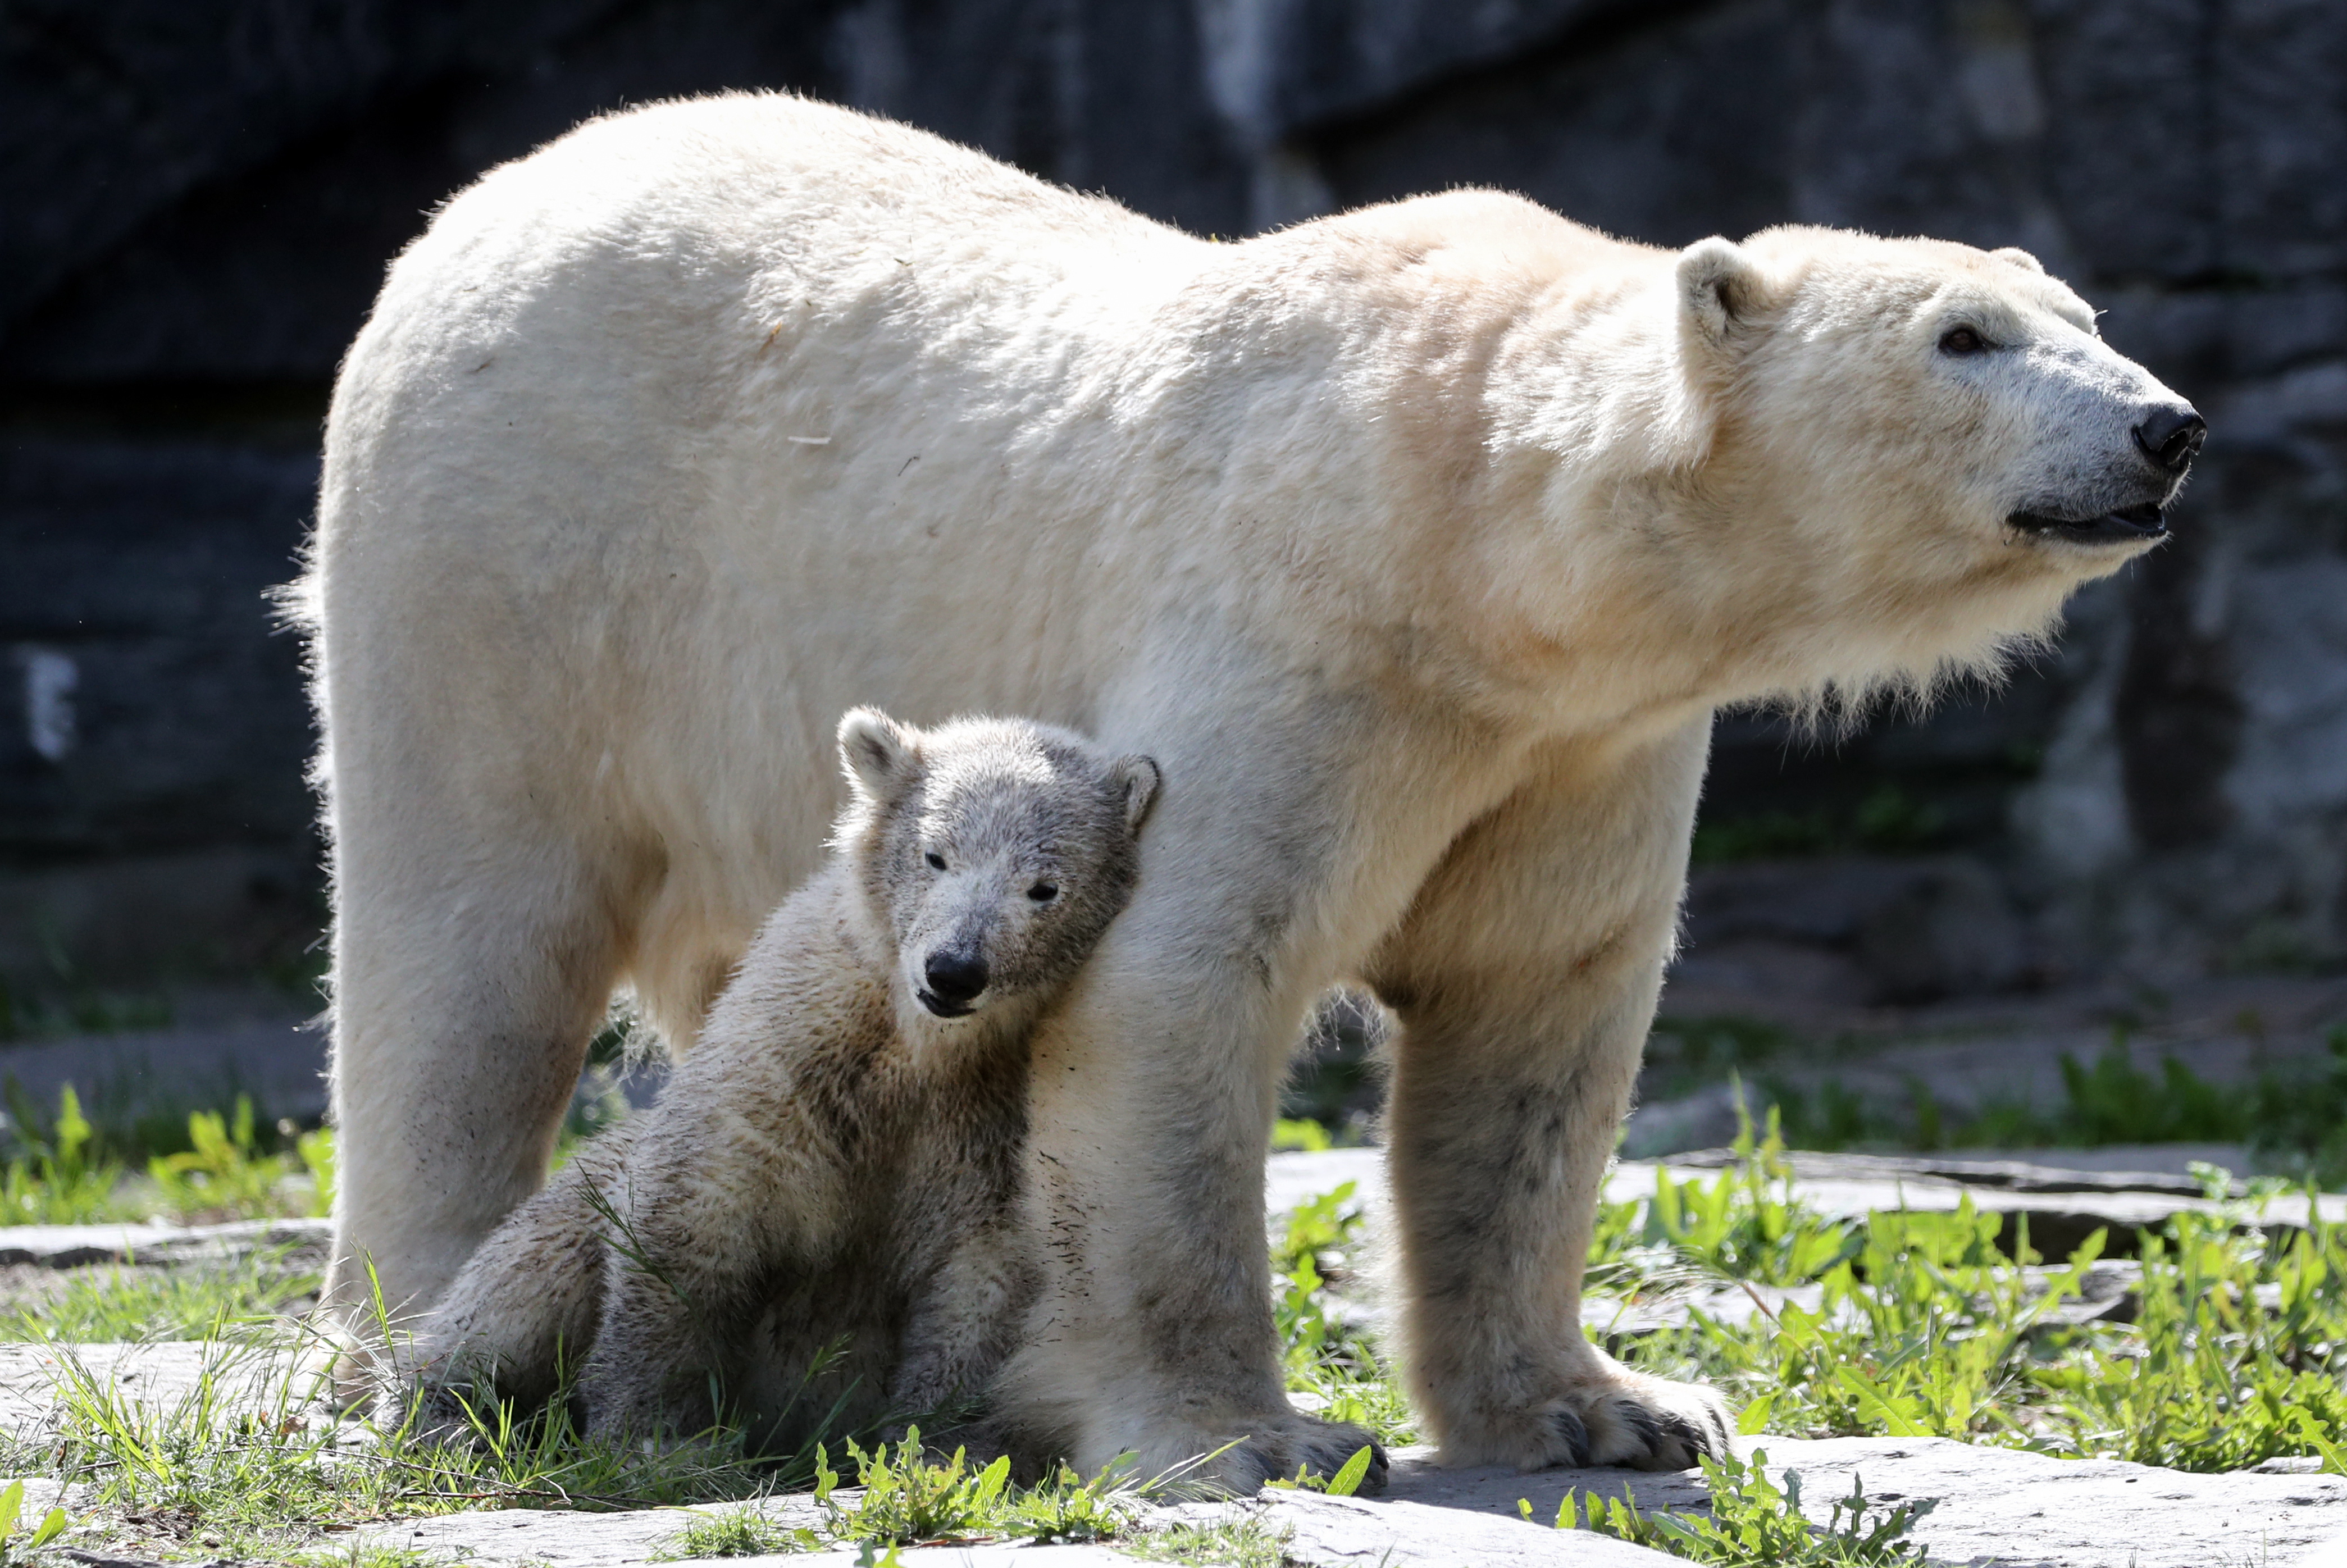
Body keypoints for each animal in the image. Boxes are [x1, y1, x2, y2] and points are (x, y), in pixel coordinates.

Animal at [312, 92, 2196, 1493]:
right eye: (1963, 335)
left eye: (2084, 320)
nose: (2166, 426)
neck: (1474, 532)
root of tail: (485, 205)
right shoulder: (1300, 634)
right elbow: (1178, 987)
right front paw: (1246, 1436)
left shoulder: (1573, 745)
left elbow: (1534, 1027)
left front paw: (1610, 1407)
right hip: (510, 561)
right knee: (461, 955)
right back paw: (409, 1339)